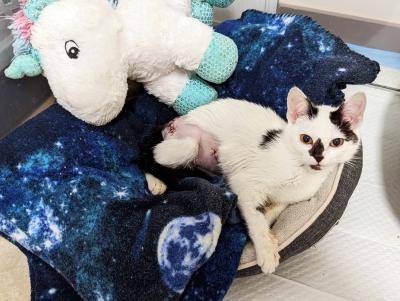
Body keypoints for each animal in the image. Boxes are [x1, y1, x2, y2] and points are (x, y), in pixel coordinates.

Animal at [140, 86, 366, 272]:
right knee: (151, 155)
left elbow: (274, 210)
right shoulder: (244, 184)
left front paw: (268, 228)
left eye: (336, 142)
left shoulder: (288, 198)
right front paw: (266, 250)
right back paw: (156, 182)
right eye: (306, 139)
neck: (300, 172)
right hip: (187, 144)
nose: (318, 157)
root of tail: (176, 119)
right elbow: (255, 216)